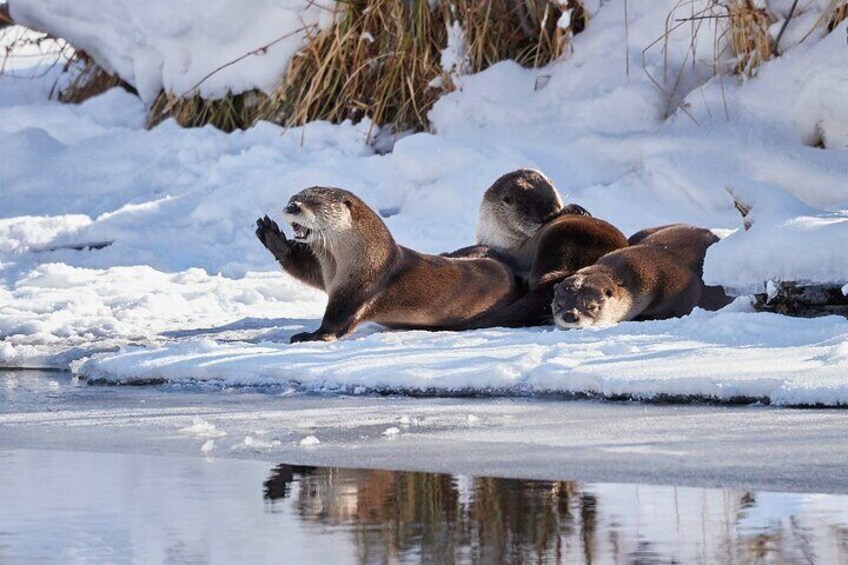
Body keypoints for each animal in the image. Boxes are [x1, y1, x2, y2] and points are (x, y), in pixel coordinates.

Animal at [256, 187, 524, 342]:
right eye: (294, 198)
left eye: (315, 203)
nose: (292, 207)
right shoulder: (327, 272)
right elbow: (306, 270)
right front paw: (272, 236)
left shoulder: (360, 286)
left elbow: (338, 319)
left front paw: (311, 335)